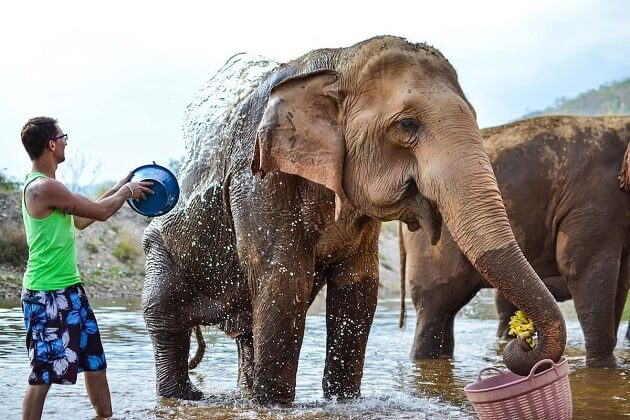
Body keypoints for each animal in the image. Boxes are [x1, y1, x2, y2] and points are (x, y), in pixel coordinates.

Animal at [142, 36, 568, 404]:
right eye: (407, 125)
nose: (522, 343)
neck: (338, 61)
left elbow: (359, 286)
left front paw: (343, 401)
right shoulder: (258, 175)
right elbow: (283, 278)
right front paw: (273, 405)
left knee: (246, 333)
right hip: (160, 253)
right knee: (163, 317)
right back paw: (185, 396)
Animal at [402, 115, 628, 368]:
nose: (524, 343)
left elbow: (621, 279)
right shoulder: (594, 199)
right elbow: (582, 267)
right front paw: (604, 368)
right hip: (429, 245)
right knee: (435, 307)